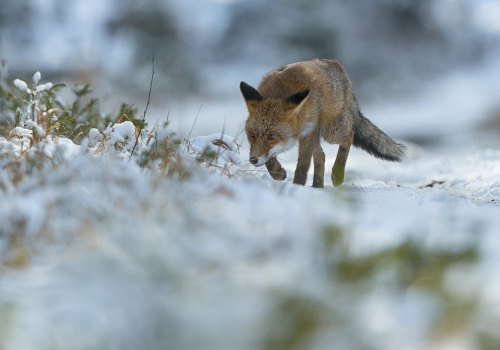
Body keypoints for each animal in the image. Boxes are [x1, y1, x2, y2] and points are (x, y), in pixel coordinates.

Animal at [239, 58, 406, 187]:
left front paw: (297, 186)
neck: (279, 92)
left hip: (331, 131)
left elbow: (302, 165)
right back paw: (317, 185)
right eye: (251, 135)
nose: (253, 160)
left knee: (350, 134)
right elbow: (269, 158)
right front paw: (277, 172)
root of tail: (338, 66)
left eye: (272, 136)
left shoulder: (308, 131)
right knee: (322, 155)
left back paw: (337, 174)